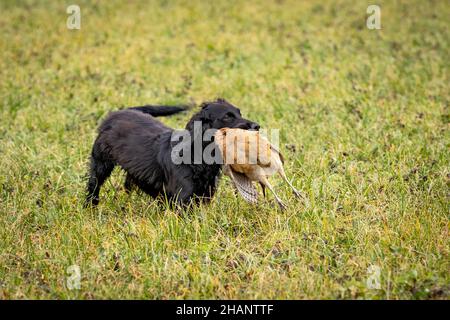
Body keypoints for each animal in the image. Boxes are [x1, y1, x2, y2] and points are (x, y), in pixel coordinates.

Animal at [85, 99, 258, 206]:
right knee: (93, 186)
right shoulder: (183, 199)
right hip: (100, 164)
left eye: (239, 113)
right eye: (227, 117)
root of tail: (118, 113)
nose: (257, 126)